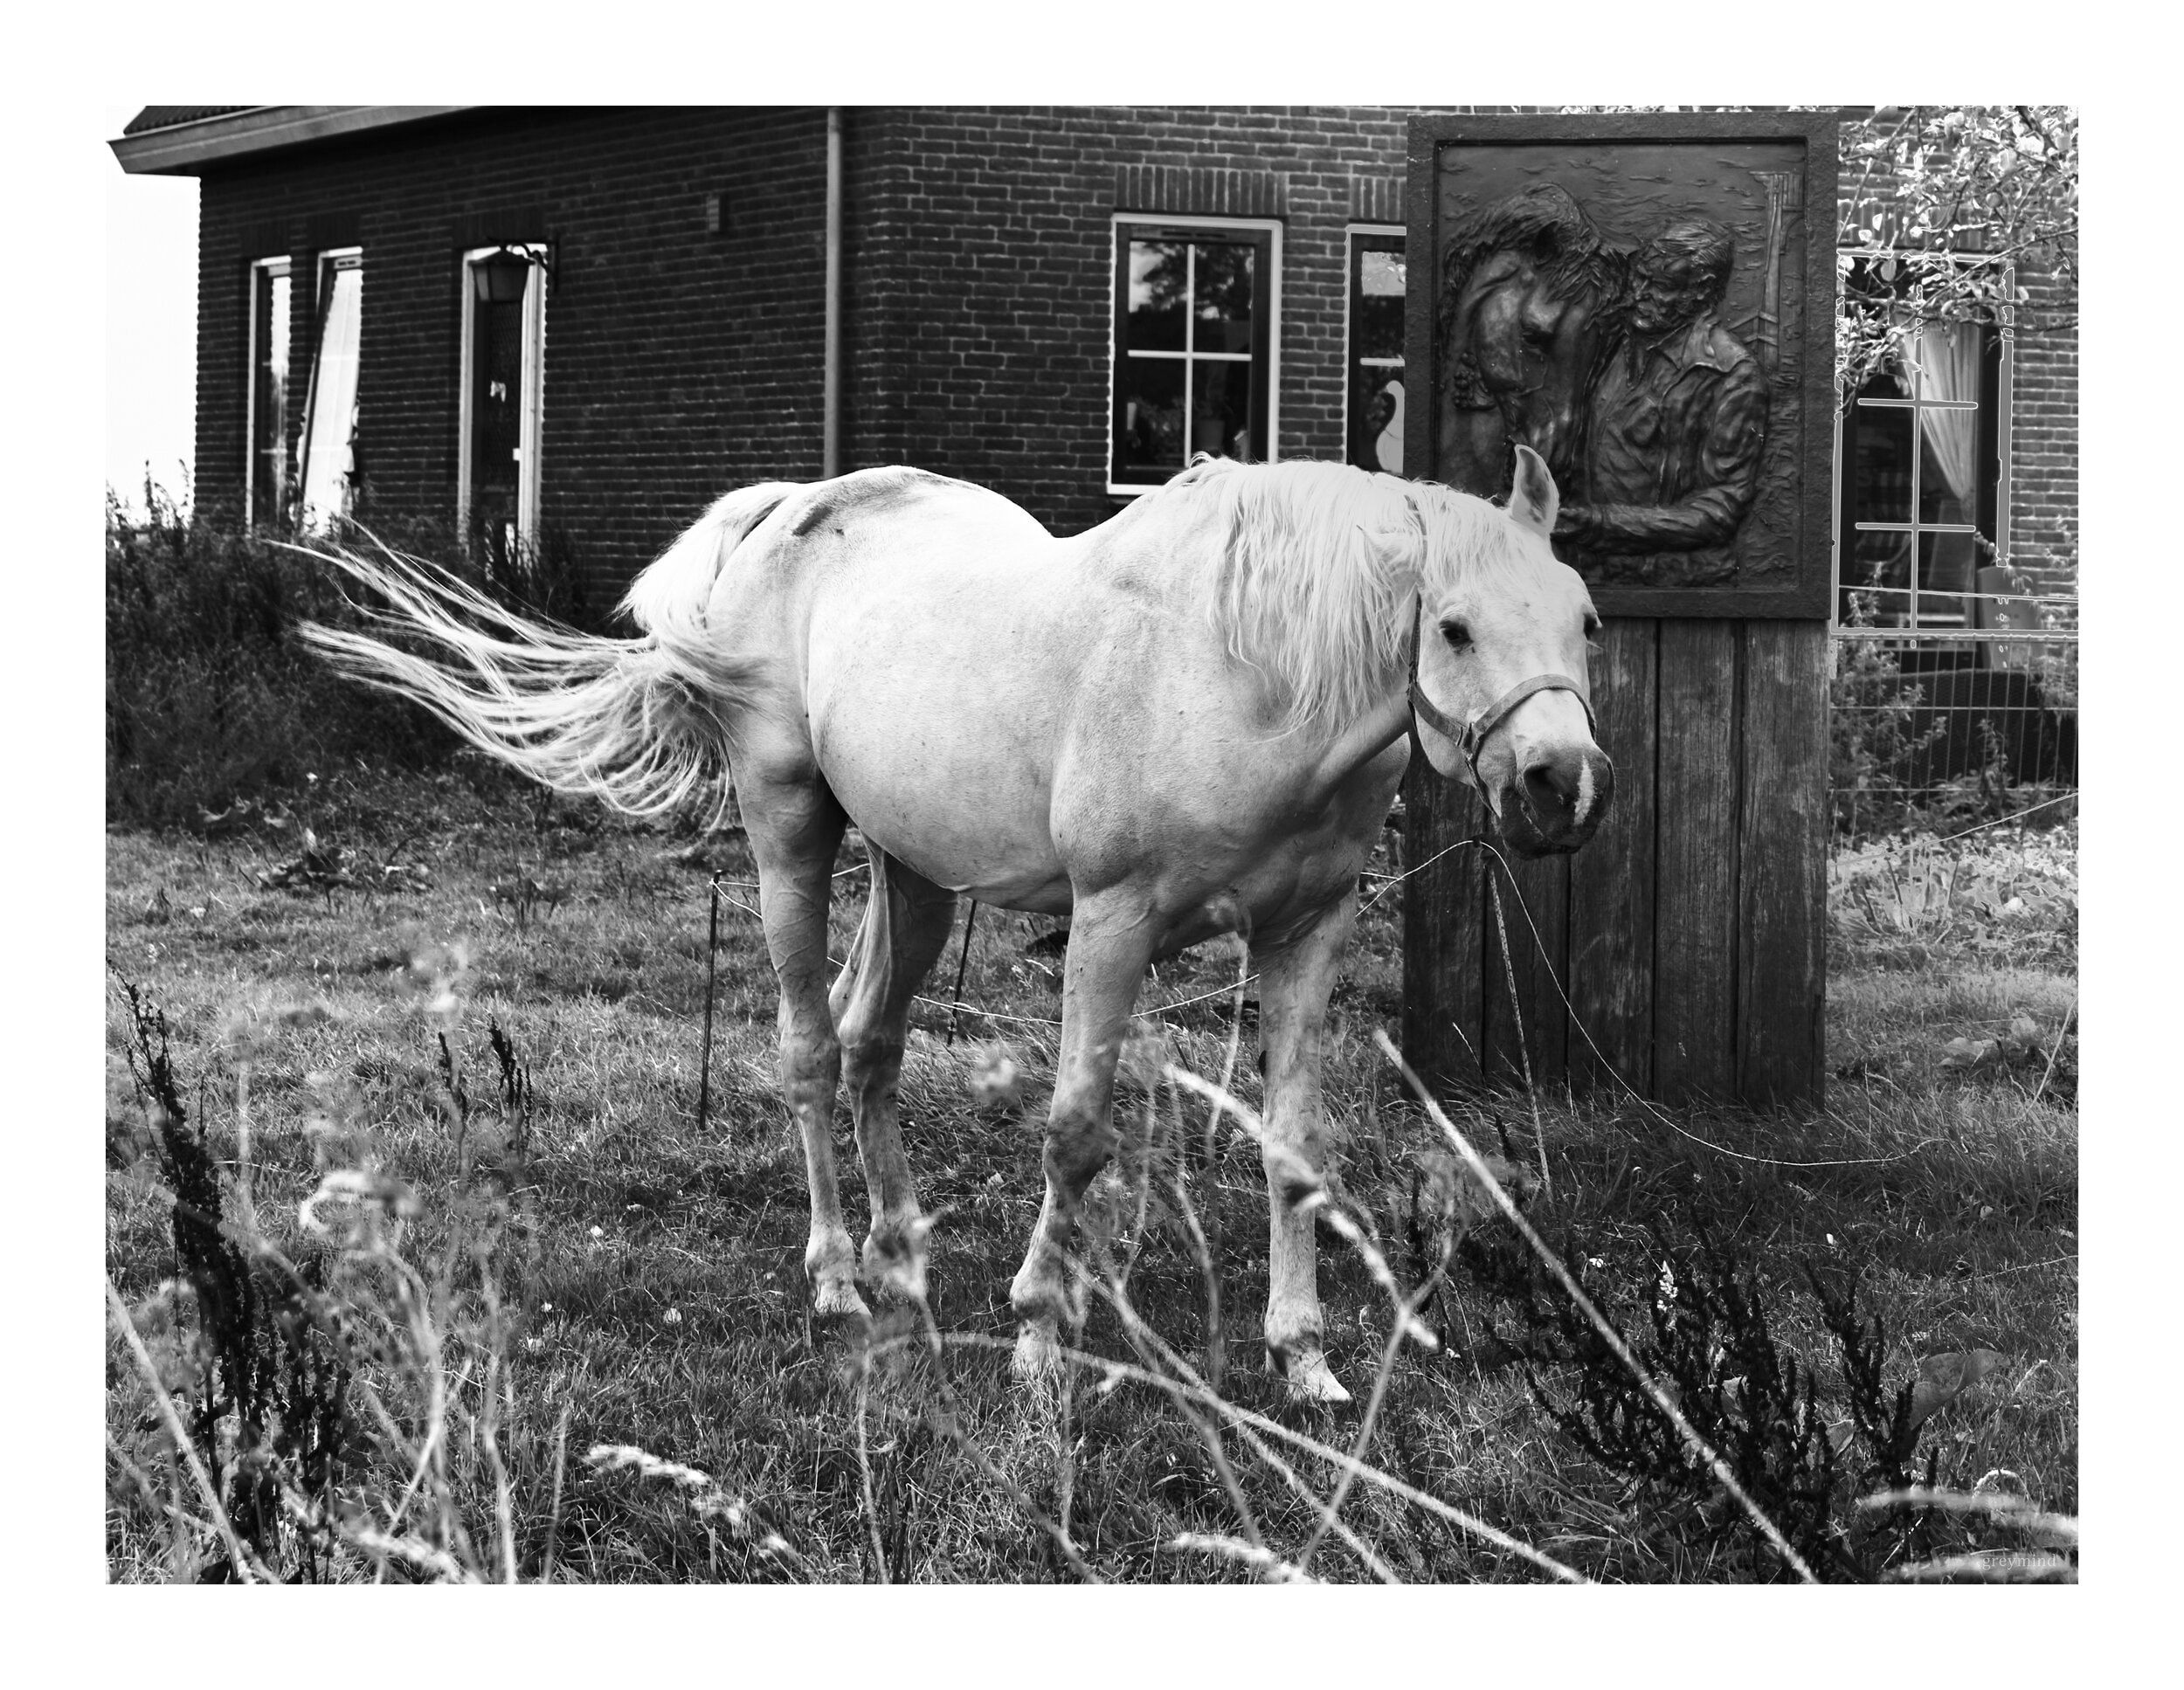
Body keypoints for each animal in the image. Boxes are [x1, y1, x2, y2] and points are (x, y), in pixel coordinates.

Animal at [303, 446, 1612, 1402]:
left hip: (916, 873)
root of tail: (783, 511)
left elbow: (1295, 1145)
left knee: (871, 1040)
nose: (1561, 784)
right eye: (1452, 626)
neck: (1244, 674)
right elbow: (1074, 1131)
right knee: (810, 1047)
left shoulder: (1307, 932)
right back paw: (838, 1280)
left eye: (1585, 620)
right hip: (791, 833)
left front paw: (1305, 1358)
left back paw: (902, 1253)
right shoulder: (1112, 922)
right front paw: (1038, 1337)